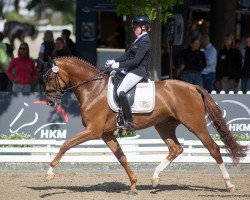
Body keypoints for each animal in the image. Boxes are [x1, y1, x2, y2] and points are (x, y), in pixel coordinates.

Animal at [42, 57, 247, 195]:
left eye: (49, 78)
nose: (50, 101)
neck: (93, 90)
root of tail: (193, 87)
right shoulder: (106, 134)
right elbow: (122, 158)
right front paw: (133, 185)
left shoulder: (93, 131)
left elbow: (65, 144)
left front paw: (49, 173)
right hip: (164, 126)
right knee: (175, 149)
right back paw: (155, 178)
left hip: (195, 124)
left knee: (213, 148)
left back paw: (229, 185)